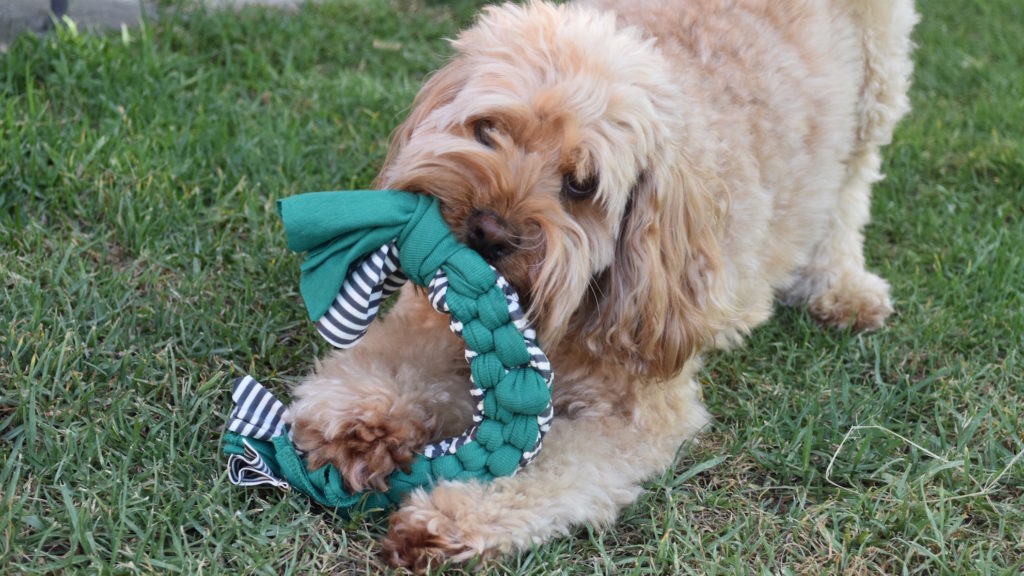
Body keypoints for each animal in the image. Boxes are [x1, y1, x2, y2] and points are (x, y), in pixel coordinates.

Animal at [284, 0, 917, 565]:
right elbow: (393, 359)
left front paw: (452, 516)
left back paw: (840, 286)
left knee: (851, 185)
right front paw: (358, 422)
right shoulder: (432, 322)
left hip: (876, 86)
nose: (489, 231)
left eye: (581, 185)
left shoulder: (636, 411)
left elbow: (553, 466)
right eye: (487, 129)